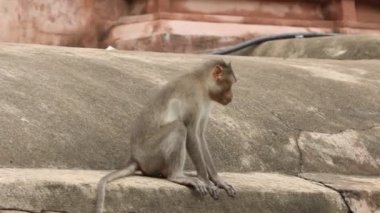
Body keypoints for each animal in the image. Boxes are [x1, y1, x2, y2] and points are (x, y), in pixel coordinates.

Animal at [95, 58, 238, 213]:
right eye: (229, 84)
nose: (231, 97)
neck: (202, 84)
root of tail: (135, 157)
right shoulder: (193, 97)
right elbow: (192, 134)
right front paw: (206, 181)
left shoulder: (206, 103)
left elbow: (200, 136)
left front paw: (217, 180)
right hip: (150, 155)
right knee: (179, 127)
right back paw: (177, 176)